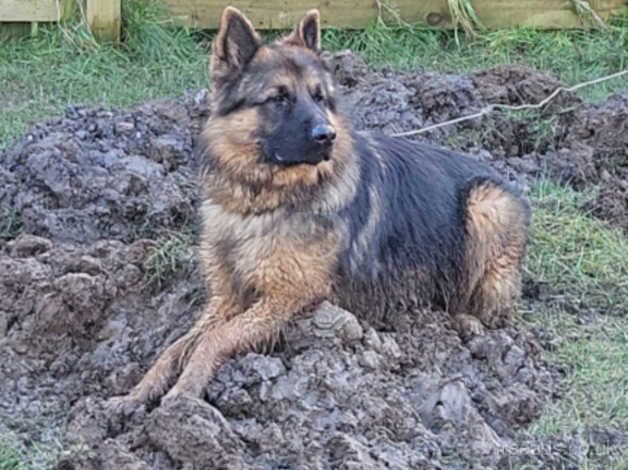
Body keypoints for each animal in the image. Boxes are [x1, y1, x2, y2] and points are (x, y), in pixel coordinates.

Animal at [109, 8, 528, 412]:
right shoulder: (226, 297)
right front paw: (136, 394)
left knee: (479, 302)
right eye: (279, 98)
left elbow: (214, 339)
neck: (261, 202)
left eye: (319, 96)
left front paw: (183, 395)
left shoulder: (286, 298)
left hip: (485, 205)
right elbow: (175, 346)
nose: (328, 136)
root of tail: (504, 179)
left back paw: (465, 325)